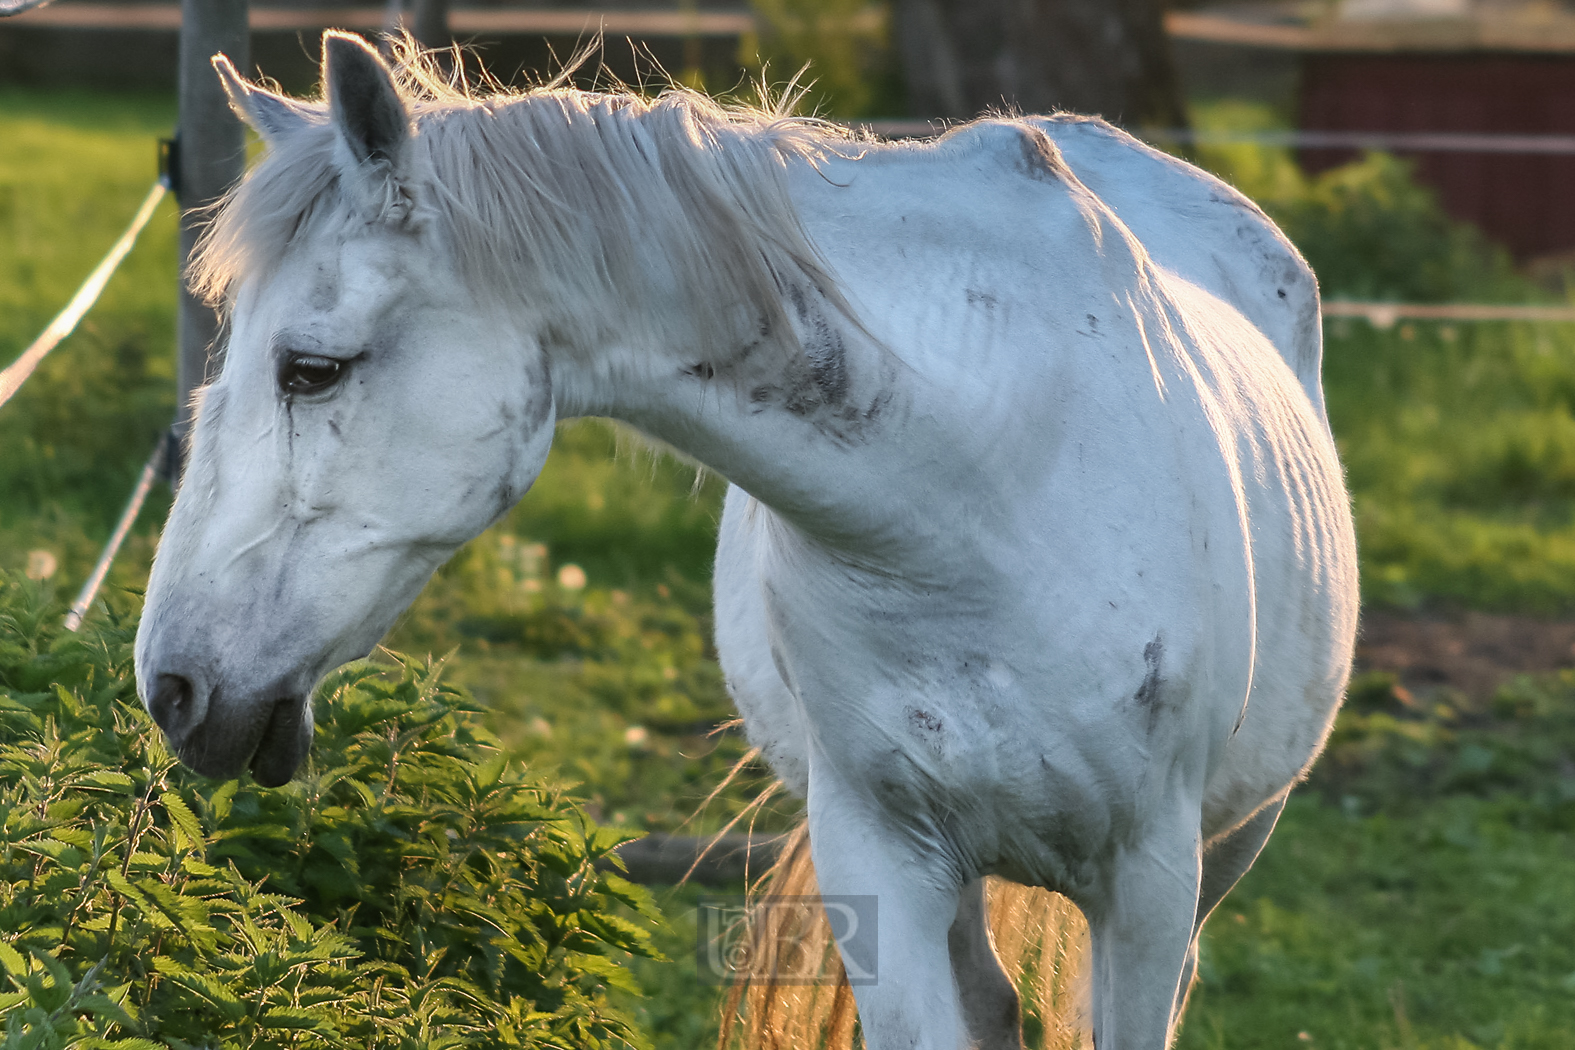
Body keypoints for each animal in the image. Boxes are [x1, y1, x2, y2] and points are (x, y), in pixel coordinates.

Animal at [135, 34, 1360, 1050]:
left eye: (311, 369)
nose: (170, 687)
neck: (985, 485)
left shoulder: (1148, 885)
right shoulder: (885, 858)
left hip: (1222, 851)